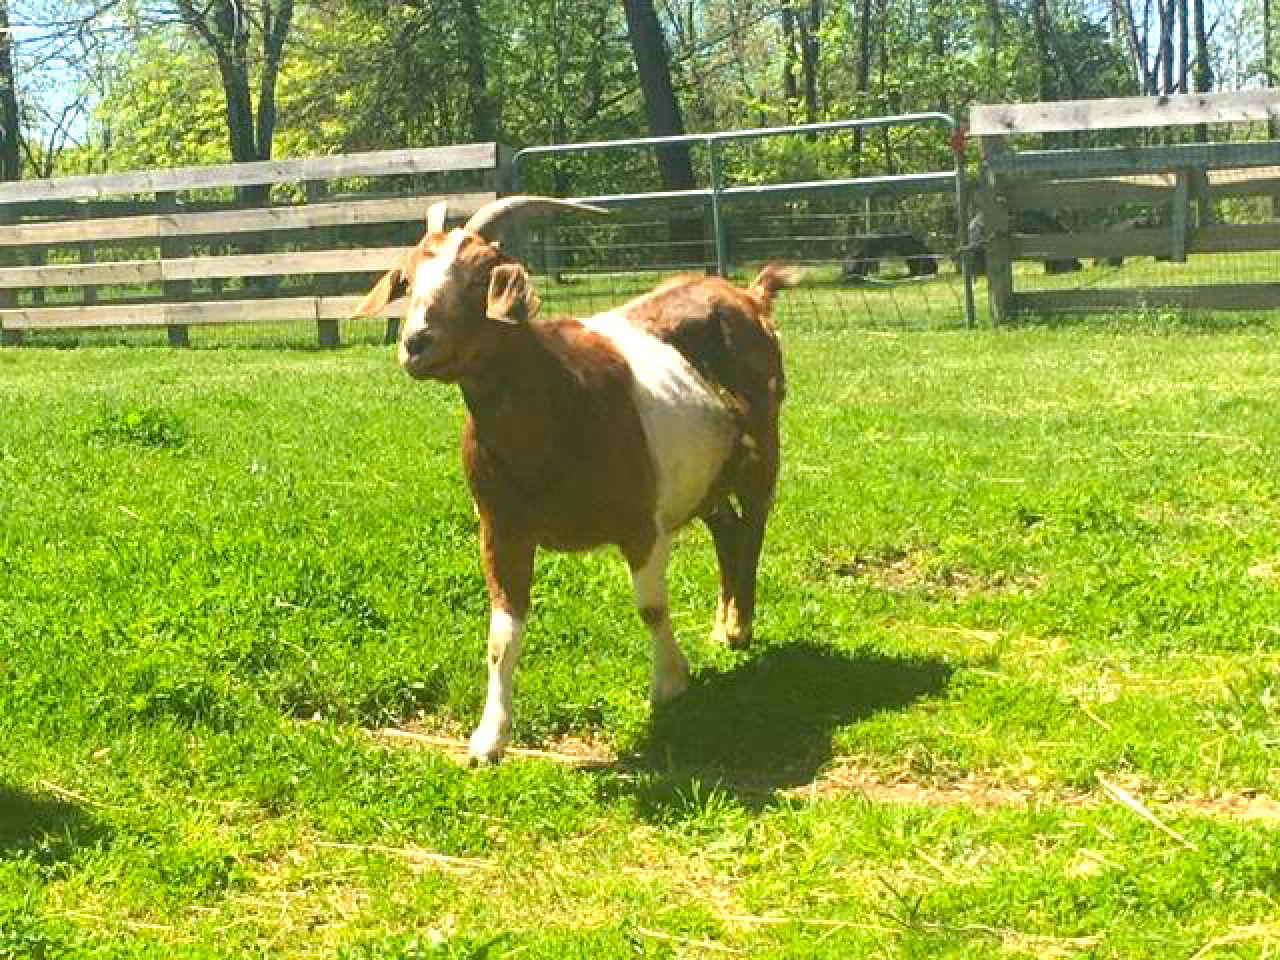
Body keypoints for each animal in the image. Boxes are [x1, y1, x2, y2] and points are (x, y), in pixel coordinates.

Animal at [353, 196, 795, 764]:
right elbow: (501, 636)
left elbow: (651, 607)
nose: (415, 344)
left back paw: (740, 626)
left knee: (754, 525)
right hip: (701, 472)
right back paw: (723, 625)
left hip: (763, 445)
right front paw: (488, 739)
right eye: (407, 280)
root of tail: (748, 293)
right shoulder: (500, 529)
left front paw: (669, 683)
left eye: (479, 278)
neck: (554, 401)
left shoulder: (642, 522)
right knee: (726, 528)